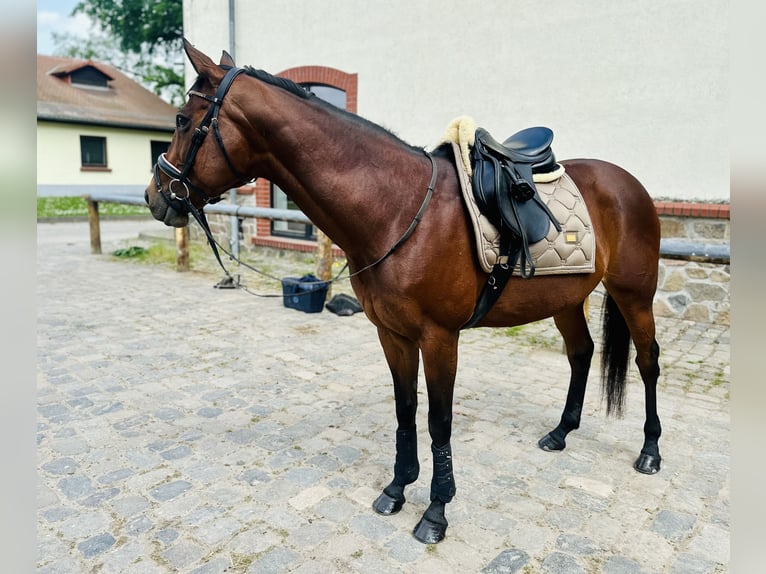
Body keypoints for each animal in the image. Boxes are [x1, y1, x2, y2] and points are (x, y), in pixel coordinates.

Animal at [146, 40, 664, 544]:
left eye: (183, 120)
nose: (155, 195)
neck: (397, 210)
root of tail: (630, 183)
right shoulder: (392, 334)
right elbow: (405, 409)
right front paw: (397, 488)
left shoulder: (440, 338)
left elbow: (438, 421)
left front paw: (435, 511)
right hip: (566, 300)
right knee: (582, 353)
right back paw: (560, 433)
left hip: (634, 294)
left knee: (647, 361)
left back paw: (650, 451)